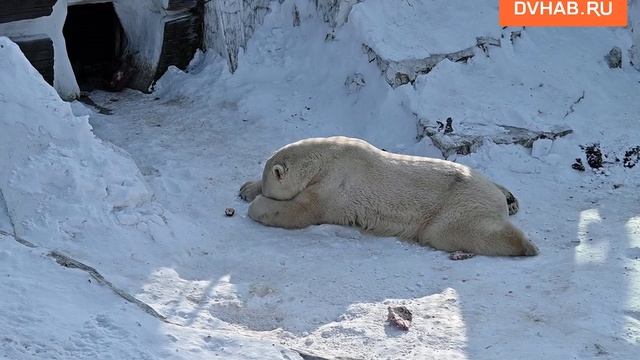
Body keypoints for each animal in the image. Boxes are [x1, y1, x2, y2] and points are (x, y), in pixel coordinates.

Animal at [240, 135, 540, 256]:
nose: (259, 188)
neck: (325, 157)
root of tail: (493, 197)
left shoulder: (335, 185)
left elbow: (301, 210)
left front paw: (257, 205)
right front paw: (247, 188)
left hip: (458, 204)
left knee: (452, 231)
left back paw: (527, 246)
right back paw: (510, 197)